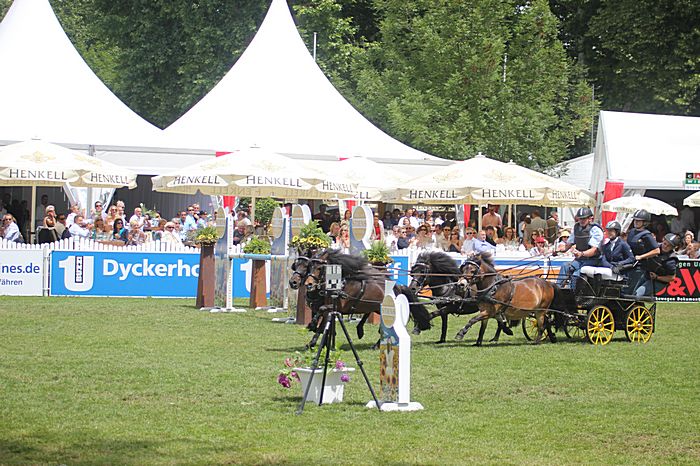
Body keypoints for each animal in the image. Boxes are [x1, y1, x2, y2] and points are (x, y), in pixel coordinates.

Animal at [303, 248, 432, 348]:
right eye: (310, 266)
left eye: (319, 268)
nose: (308, 284)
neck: (340, 284)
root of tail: (398, 287)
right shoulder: (331, 308)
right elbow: (323, 320)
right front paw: (313, 340)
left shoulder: (338, 307)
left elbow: (321, 311)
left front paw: (312, 326)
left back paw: (378, 344)